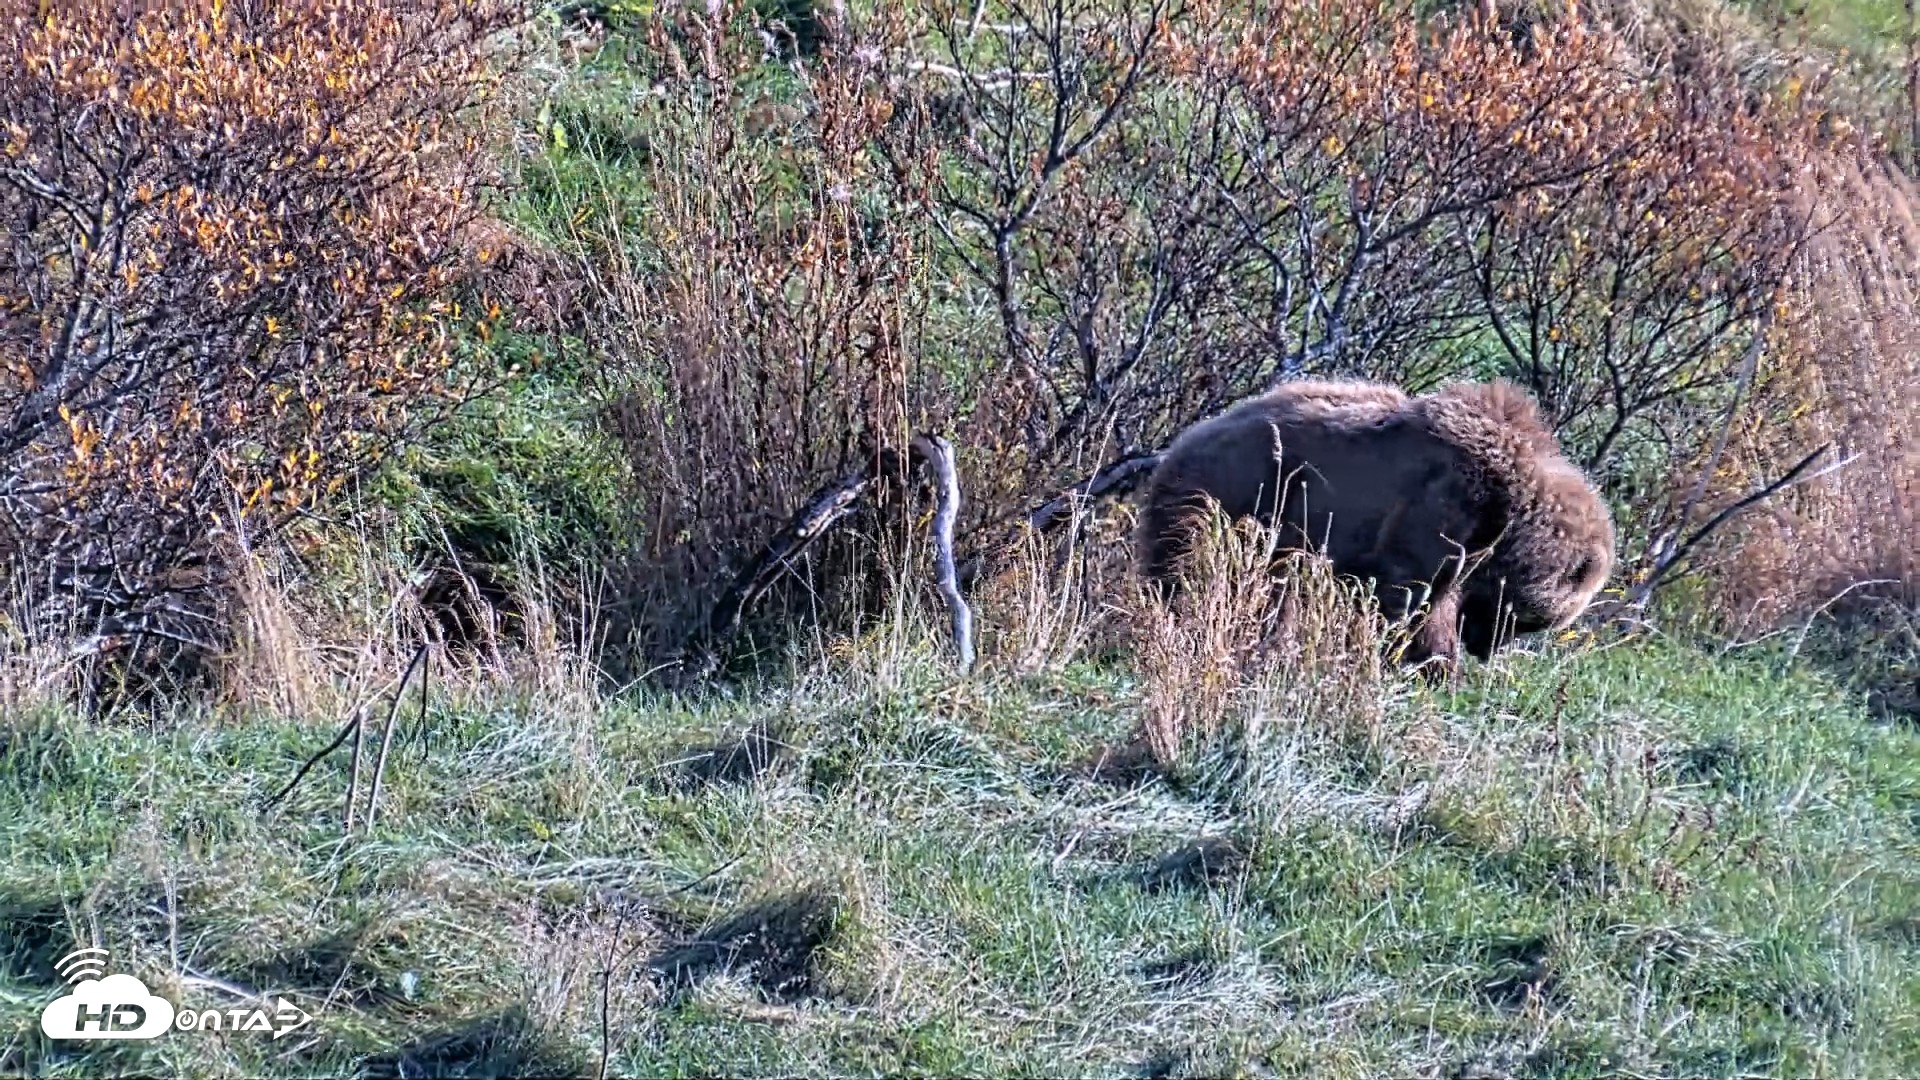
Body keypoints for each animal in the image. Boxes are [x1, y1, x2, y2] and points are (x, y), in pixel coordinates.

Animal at [1135, 376, 1615, 672]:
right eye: (1527, 620)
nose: (1486, 646)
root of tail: (1180, 441)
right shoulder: (1448, 504)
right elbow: (1413, 593)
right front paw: (1429, 663)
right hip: (1229, 494)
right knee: (1185, 564)